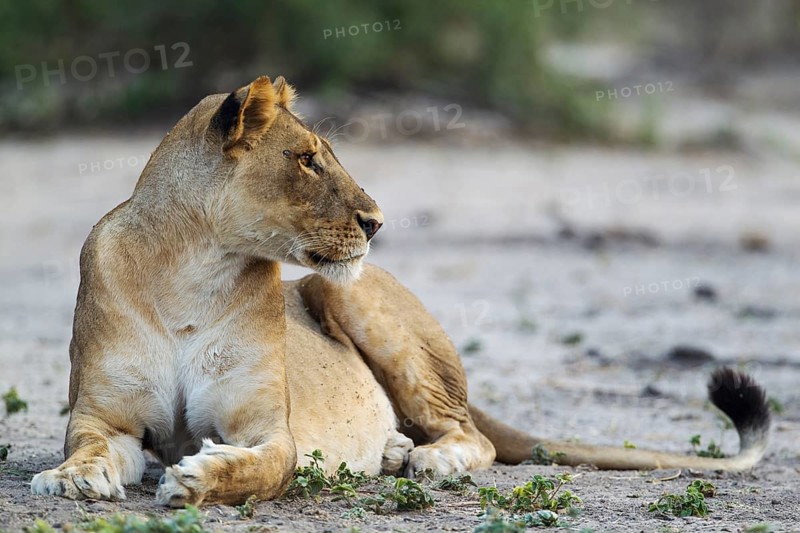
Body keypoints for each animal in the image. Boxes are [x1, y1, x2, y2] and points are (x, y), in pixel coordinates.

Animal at [31, 76, 771, 507]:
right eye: (307, 159)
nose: (377, 221)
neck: (195, 270)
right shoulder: (103, 414)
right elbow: (90, 443)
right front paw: (73, 477)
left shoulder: (270, 429)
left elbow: (263, 466)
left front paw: (198, 477)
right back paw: (389, 451)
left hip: (347, 297)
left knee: (475, 436)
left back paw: (430, 460)